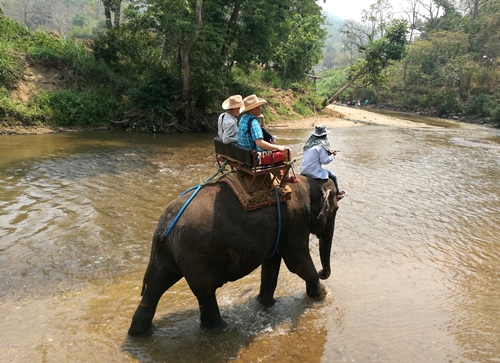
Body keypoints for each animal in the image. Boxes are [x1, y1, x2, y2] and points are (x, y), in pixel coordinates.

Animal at [128, 175, 340, 336]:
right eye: (336, 209)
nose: (323, 272)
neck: (306, 180)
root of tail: (163, 225)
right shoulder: (295, 219)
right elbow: (296, 261)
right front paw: (323, 294)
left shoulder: (282, 226)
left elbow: (271, 262)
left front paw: (266, 304)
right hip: (197, 253)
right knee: (204, 290)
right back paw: (221, 329)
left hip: (170, 252)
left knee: (156, 286)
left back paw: (140, 333)